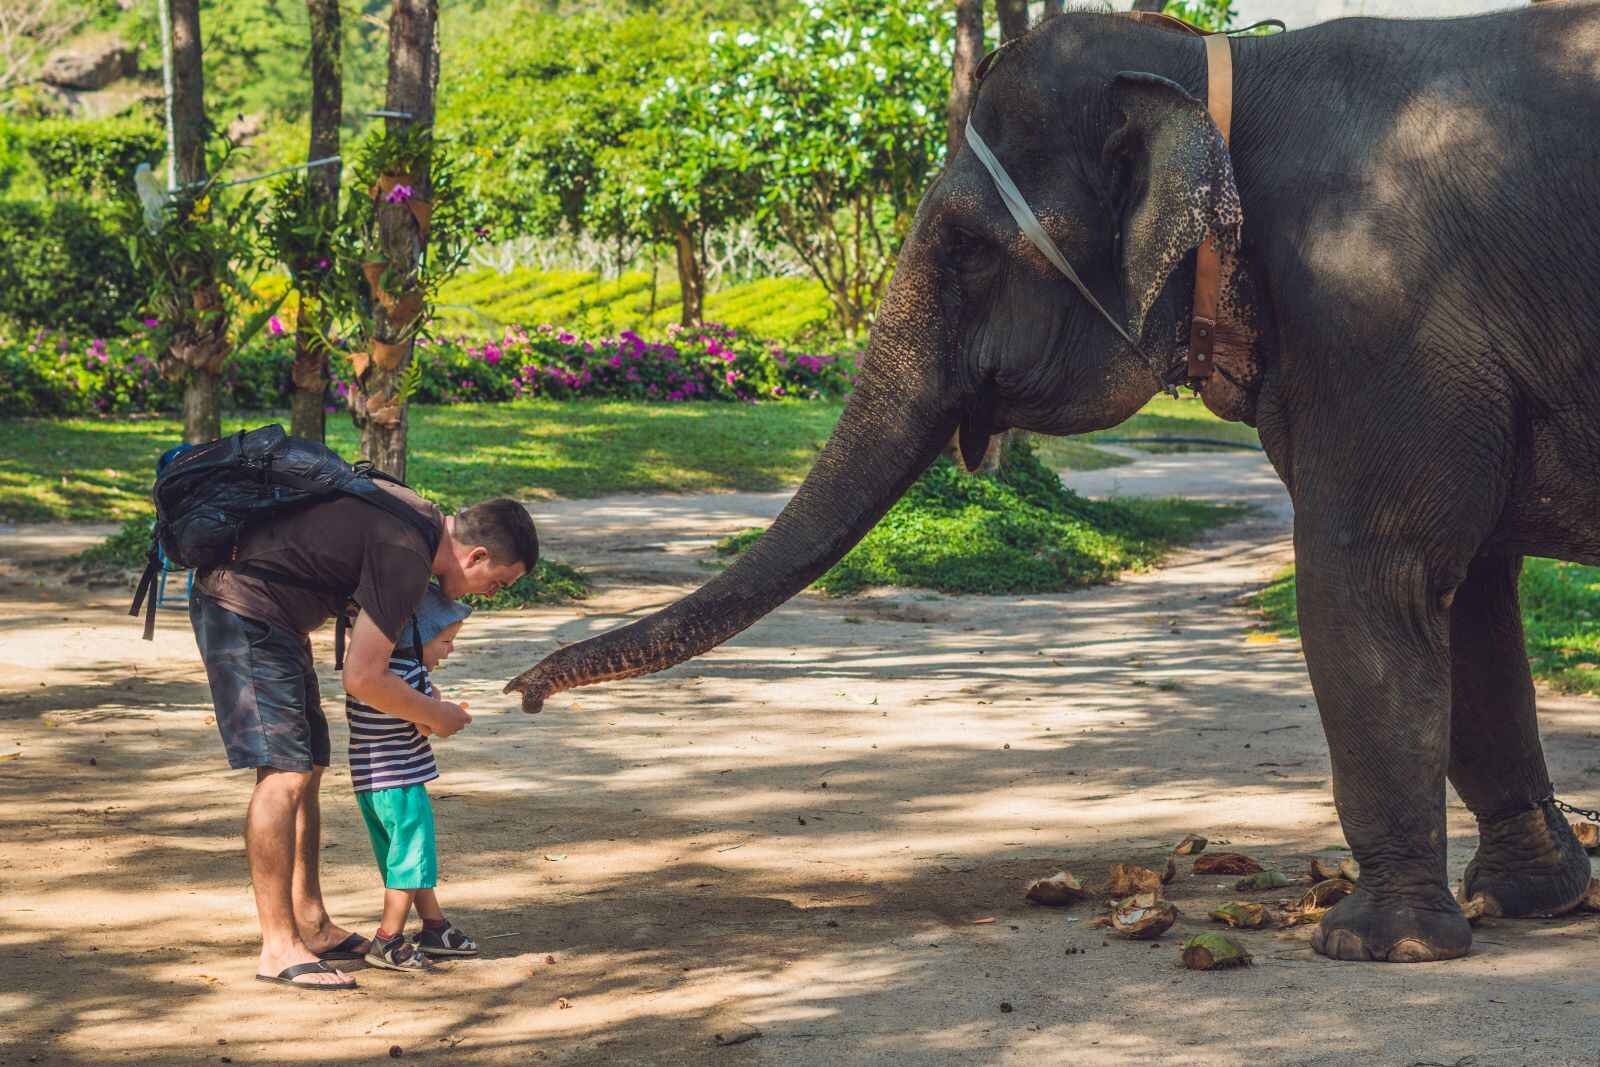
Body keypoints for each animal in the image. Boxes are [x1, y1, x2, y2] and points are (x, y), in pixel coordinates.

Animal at [508, 2, 1600, 966]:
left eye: (966, 247)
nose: (520, 690)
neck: (1227, 71)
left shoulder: (1376, 310)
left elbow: (1377, 577)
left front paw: (1373, 945)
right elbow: (1470, 599)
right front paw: (1524, 900)